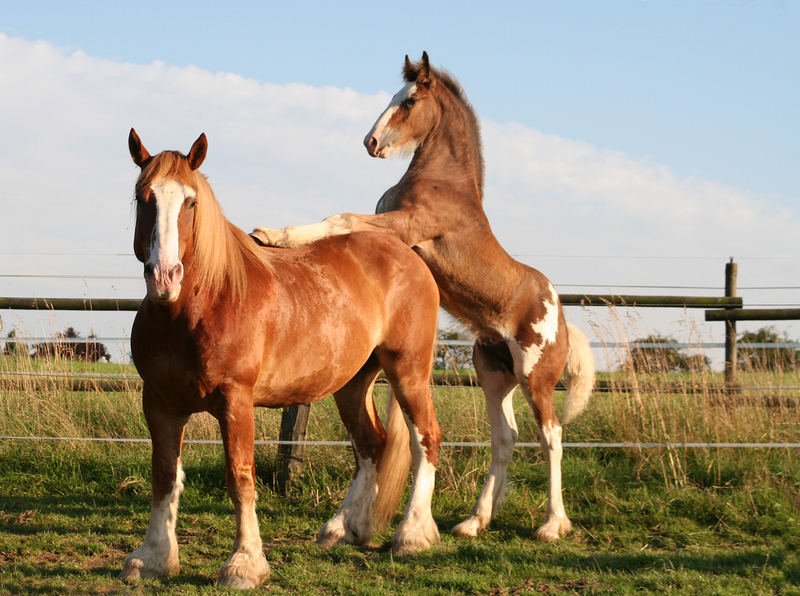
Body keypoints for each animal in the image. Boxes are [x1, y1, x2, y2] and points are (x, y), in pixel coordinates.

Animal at [123, 128, 444, 588]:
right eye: (142, 196)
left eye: (190, 202)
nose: (165, 276)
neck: (195, 310)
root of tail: (409, 257)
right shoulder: (160, 402)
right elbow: (164, 475)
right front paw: (151, 557)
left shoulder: (236, 401)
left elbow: (240, 477)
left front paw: (244, 564)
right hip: (352, 383)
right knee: (371, 444)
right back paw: (346, 529)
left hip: (408, 369)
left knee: (425, 439)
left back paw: (413, 535)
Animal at [253, 53, 596, 544]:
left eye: (410, 101)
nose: (371, 142)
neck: (445, 182)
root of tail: (561, 314)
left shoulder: (407, 225)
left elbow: (339, 217)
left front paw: (272, 235)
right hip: (495, 375)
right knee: (505, 437)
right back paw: (474, 521)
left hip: (537, 377)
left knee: (551, 436)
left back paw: (552, 524)